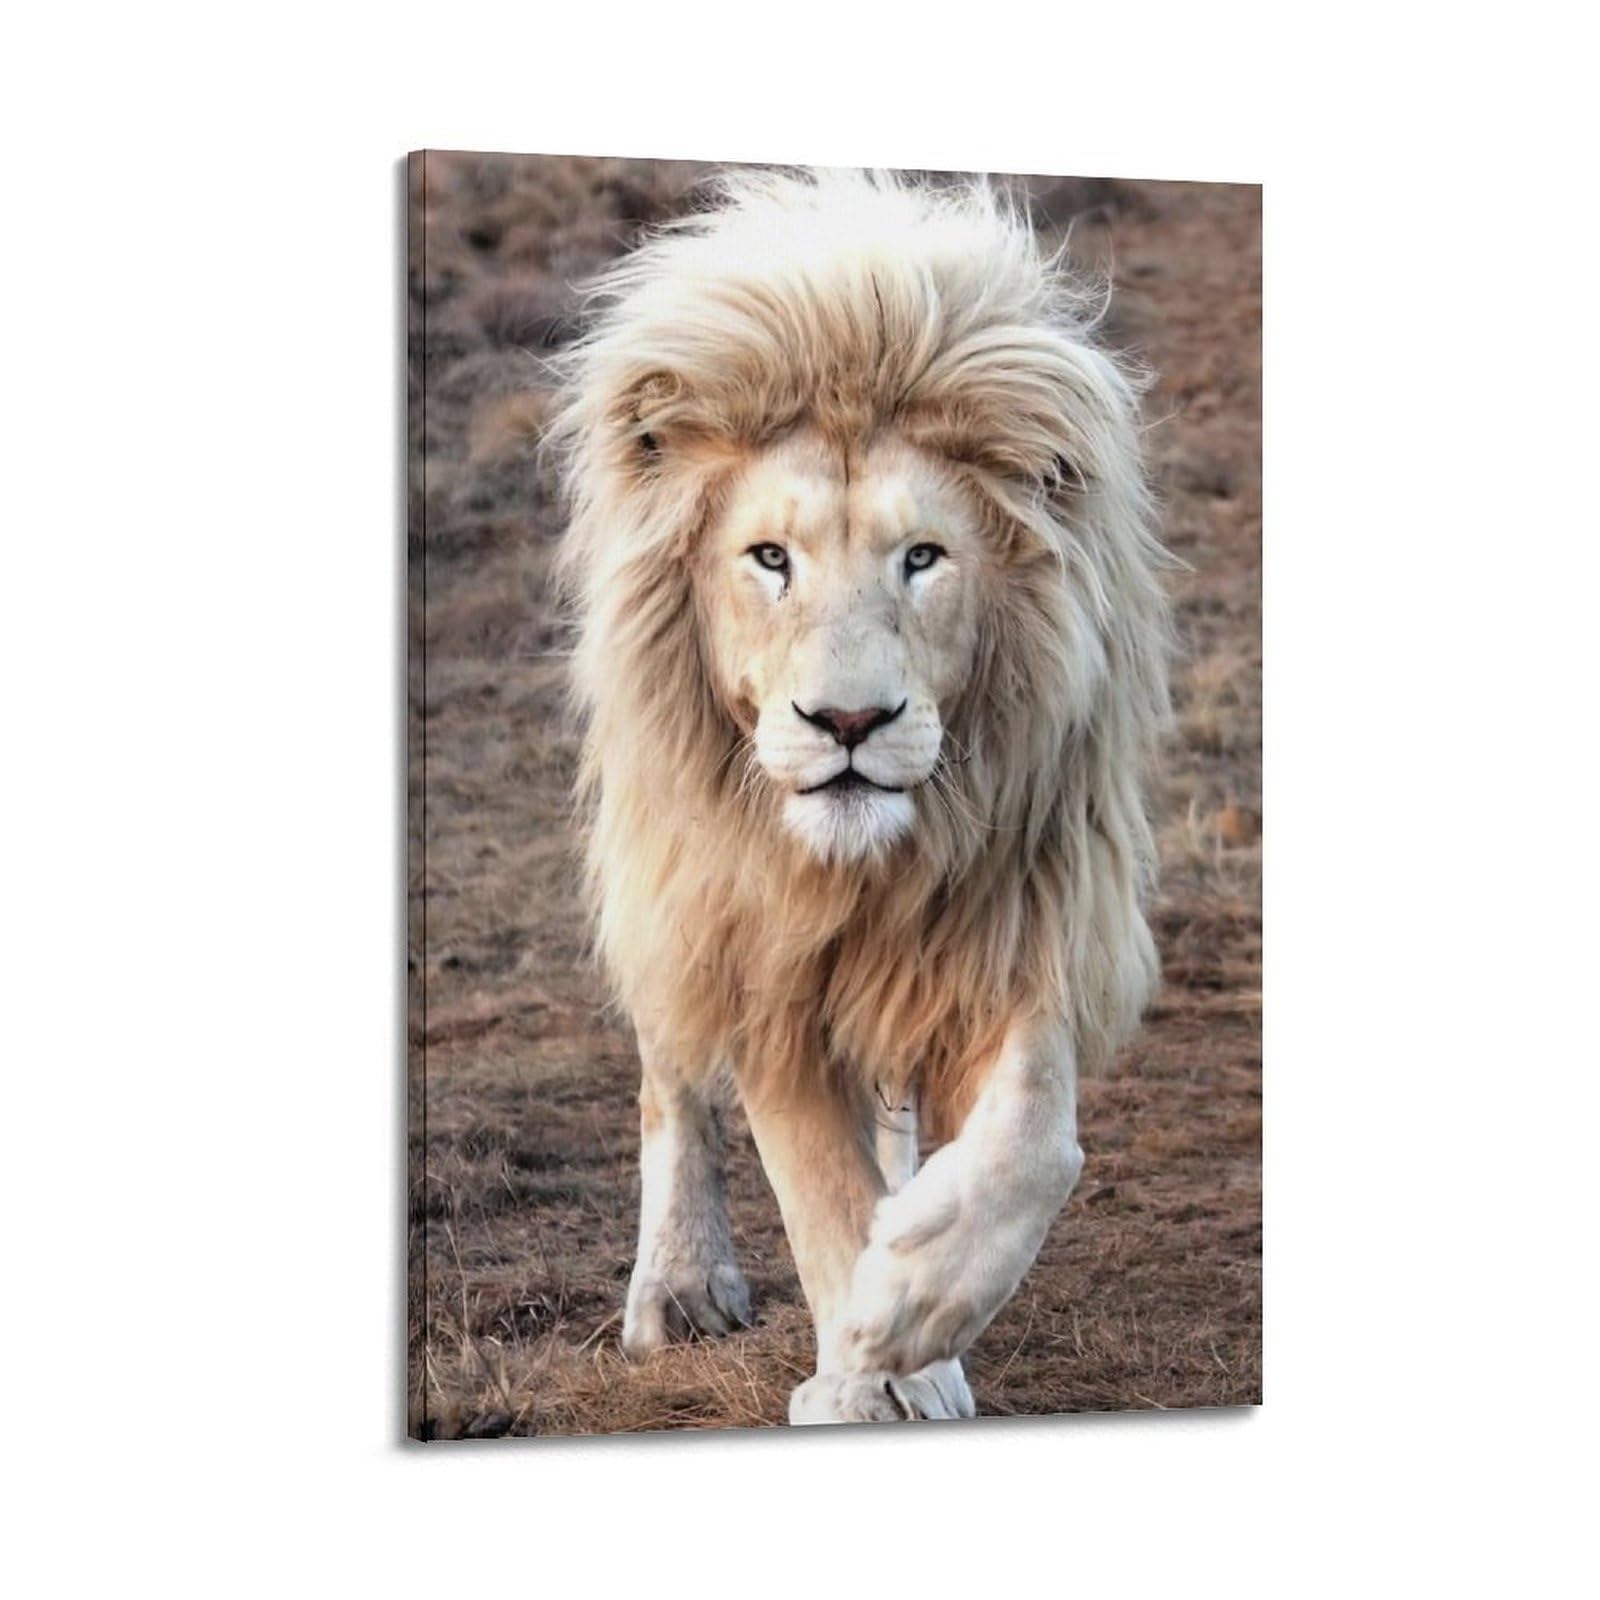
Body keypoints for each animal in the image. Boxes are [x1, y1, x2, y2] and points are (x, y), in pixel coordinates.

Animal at [550, 168, 1170, 1423]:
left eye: (923, 557)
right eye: (769, 558)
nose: (847, 724)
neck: (869, 869)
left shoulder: (1024, 905)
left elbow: (1036, 1140)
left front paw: (919, 1300)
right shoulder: (758, 955)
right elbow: (816, 1185)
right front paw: (870, 1367)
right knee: (670, 1078)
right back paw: (678, 1286)